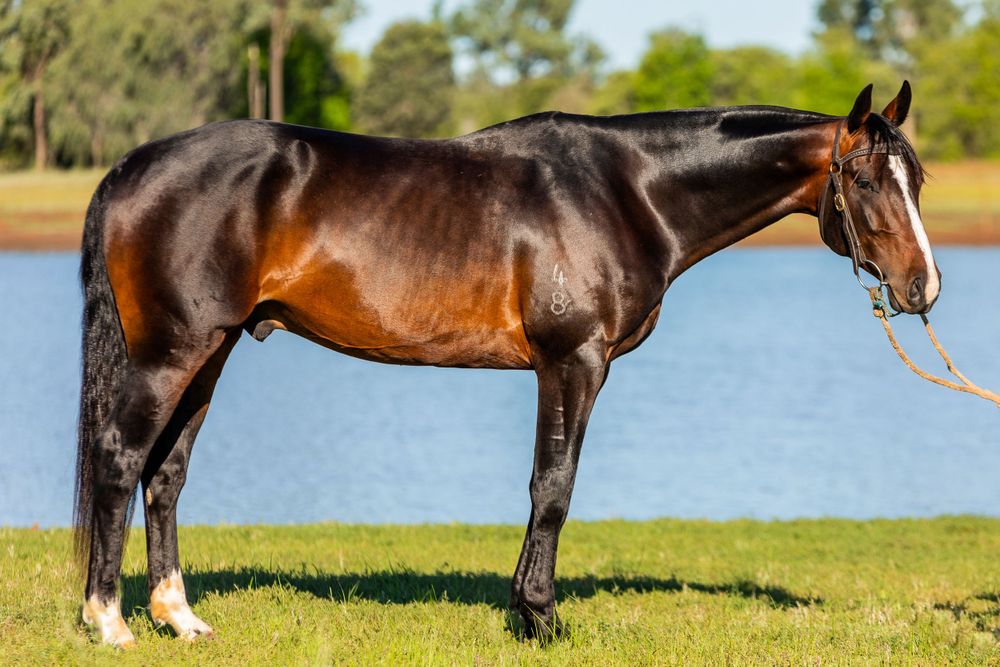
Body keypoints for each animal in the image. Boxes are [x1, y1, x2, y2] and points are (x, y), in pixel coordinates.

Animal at [75, 81, 938, 647]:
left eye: (917, 179)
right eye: (864, 179)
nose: (923, 287)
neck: (630, 190)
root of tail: (131, 167)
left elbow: (545, 487)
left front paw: (527, 608)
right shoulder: (573, 361)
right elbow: (552, 487)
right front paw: (540, 616)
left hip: (211, 351)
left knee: (166, 473)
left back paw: (179, 617)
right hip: (171, 353)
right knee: (120, 460)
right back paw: (108, 620)